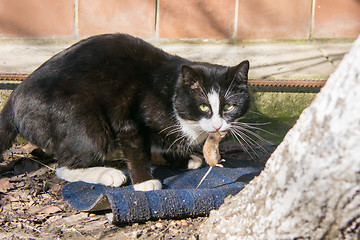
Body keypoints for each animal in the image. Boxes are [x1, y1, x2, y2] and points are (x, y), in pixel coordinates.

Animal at [0, 33, 249, 191]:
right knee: (64, 166)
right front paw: (144, 182)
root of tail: (14, 98)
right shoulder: (129, 119)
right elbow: (136, 148)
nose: (217, 125)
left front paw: (182, 159)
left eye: (229, 106)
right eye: (204, 106)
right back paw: (108, 173)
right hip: (85, 121)